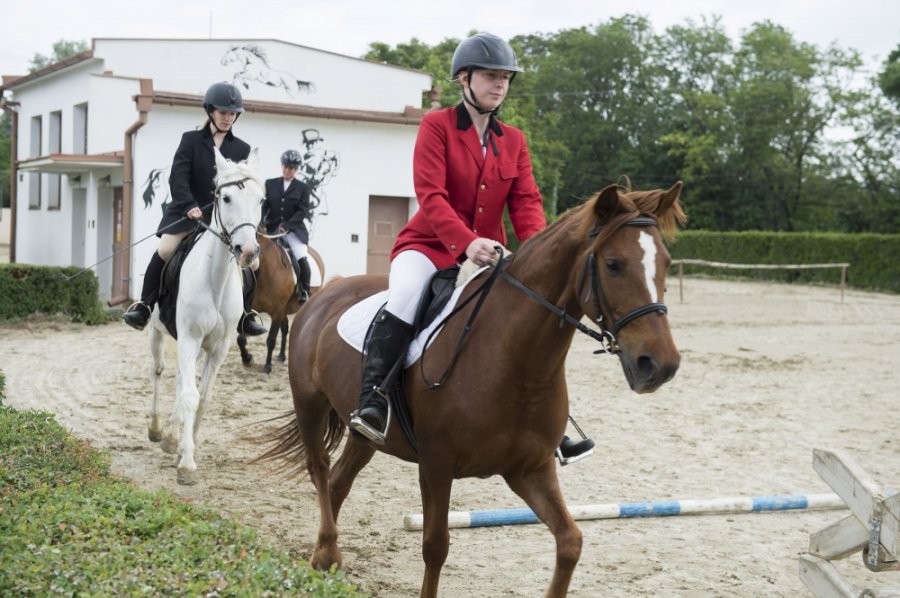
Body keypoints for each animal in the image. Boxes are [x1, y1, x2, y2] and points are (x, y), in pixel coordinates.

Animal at [147, 146, 264, 488]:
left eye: (260, 200)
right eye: (226, 198)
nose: (248, 251)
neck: (216, 280)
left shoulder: (220, 346)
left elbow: (204, 397)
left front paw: (186, 446)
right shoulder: (189, 337)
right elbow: (190, 395)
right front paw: (186, 464)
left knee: (182, 381)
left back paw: (171, 436)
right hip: (158, 332)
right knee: (159, 373)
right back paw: (157, 429)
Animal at [237, 234, 326, 376]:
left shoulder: (277, 311)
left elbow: (271, 339)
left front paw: (267, 367)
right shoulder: (252, 309)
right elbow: (241, 338)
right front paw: (247, 359)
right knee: (285, 329)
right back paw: (281, 356)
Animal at [256, 180, 684, 596]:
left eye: (666, 264)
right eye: (613, 265)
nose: (660, 365)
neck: (517, 362)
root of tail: (328, 292)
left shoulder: (531, 469)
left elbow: (570, 541)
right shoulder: (436, 463)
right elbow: (436, 546)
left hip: (367, 434)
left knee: (339, 482)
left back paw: (324, 558)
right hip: (310, 405)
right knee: (320, 469)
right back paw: (327, 551)